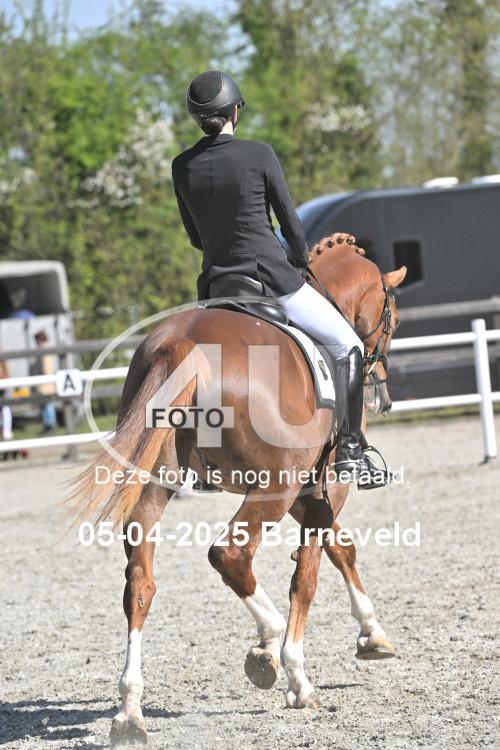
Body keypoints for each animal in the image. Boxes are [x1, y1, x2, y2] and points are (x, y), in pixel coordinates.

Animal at [68, 232, 407, 745]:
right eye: (394, 319)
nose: (381, 398)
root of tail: (182, 344)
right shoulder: (318, 489)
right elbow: (309, 575)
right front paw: (297, 669)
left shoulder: (305, 494)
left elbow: (340, 547)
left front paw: (372, 634)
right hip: (270, 491)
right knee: (229, 555)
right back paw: (274, 650)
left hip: (158, 486)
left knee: (140, 584)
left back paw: (130, 712)